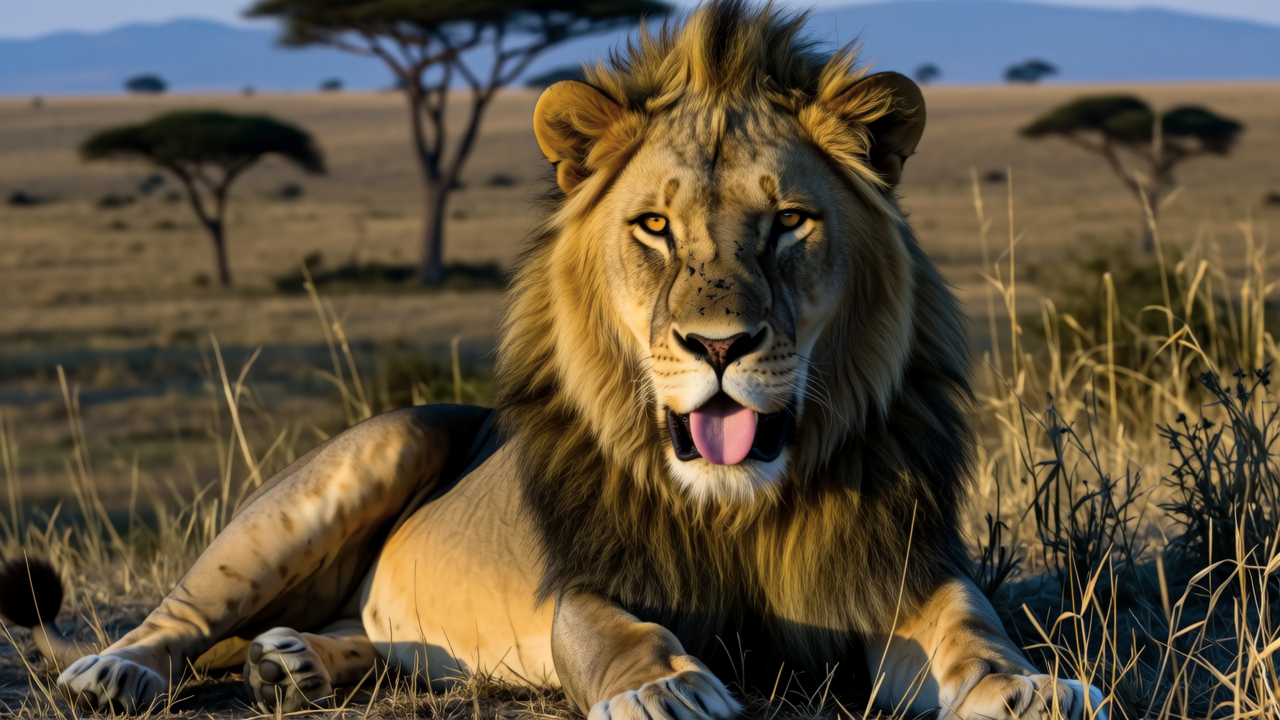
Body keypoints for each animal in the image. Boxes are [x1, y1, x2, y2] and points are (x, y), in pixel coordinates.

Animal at [0, 3, 1106, 718]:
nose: (718, 346)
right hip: (367, 455)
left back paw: (300, 665)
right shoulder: (584, 575)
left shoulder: (898, 563)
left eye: (790, 221)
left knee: (392, 648)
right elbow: (610, 630)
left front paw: (1026, 686)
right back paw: (122, 673)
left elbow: (970, 626)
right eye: (654, 227)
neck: (739, 504)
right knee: (184, 614)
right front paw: (663, 689)